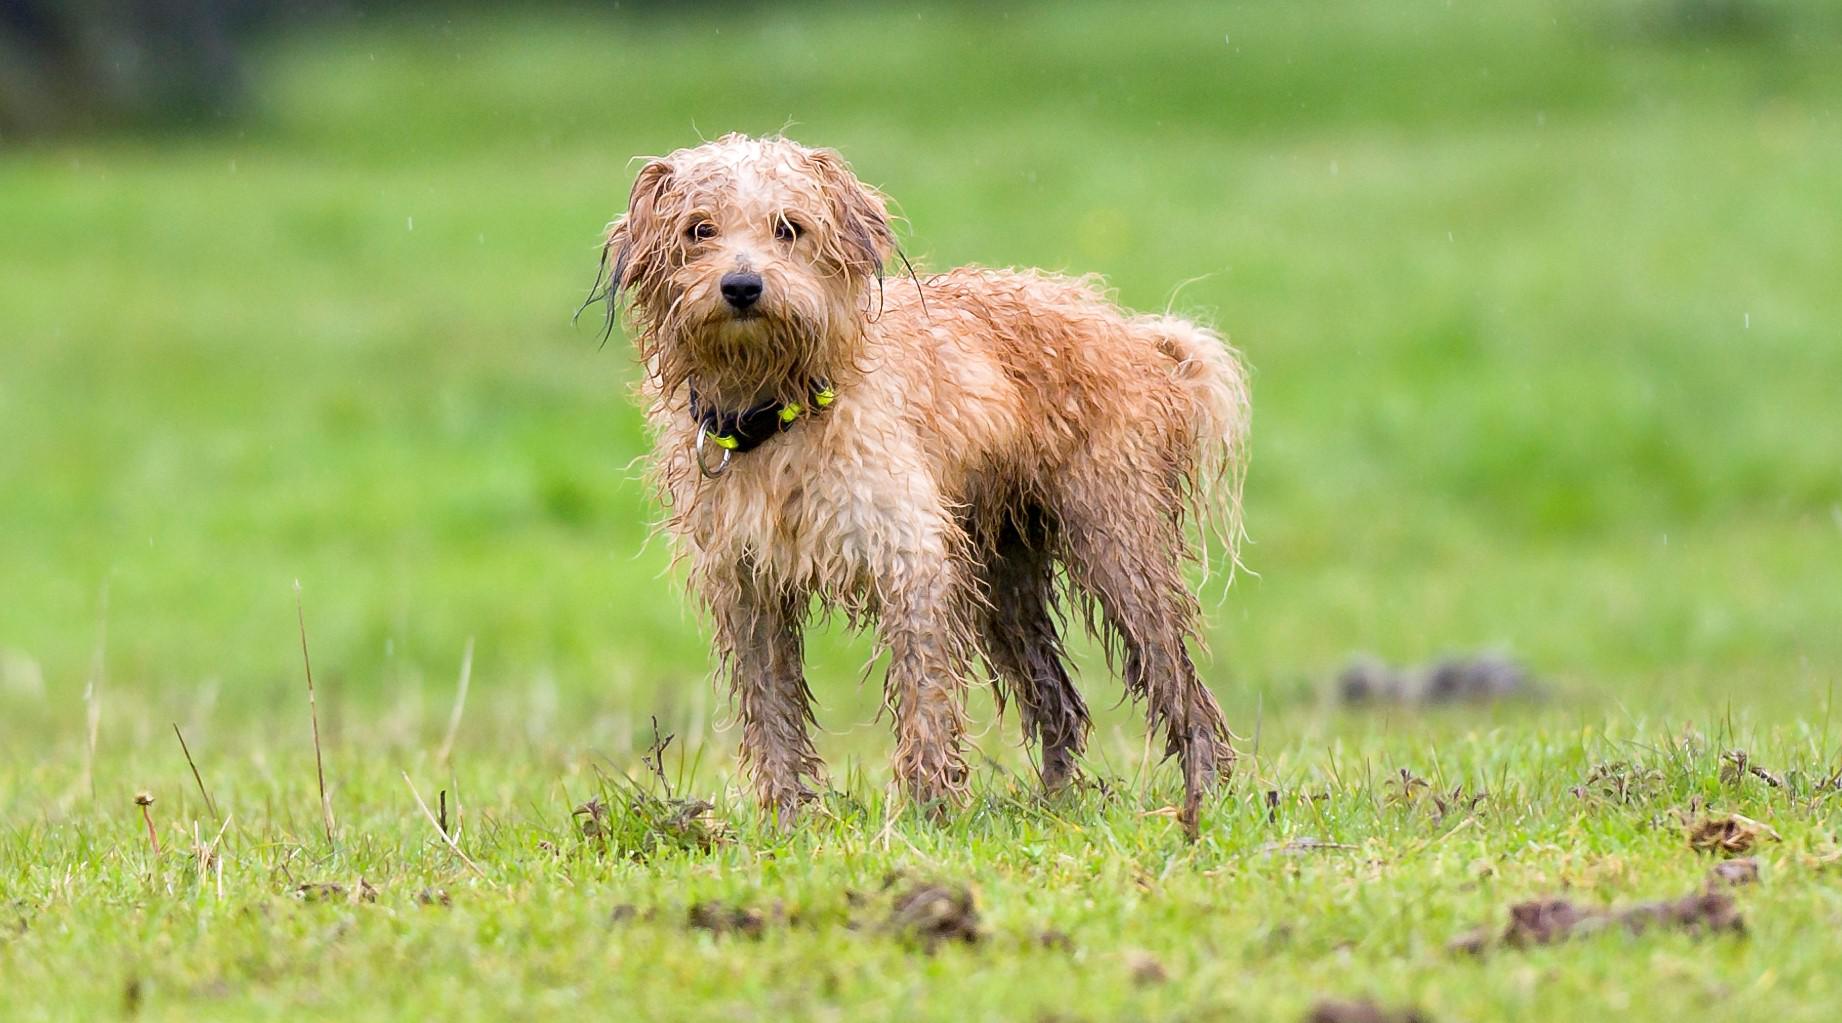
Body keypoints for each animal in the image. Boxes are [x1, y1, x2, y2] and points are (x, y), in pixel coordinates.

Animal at [589, 134, 1252, 833]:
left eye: (788, 228)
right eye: (700, 230)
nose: (742, 285)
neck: (780, 407)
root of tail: (1137, 336)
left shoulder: (912, 561)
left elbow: (923, 694)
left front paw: (928, 809)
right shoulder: (749, 585)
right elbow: (770, 710)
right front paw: (784, 820)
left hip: (1118, 553)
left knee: (1178, 685)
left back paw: (1201, 795)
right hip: (1003, 580)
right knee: (1059, 704)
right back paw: (1056, 807)